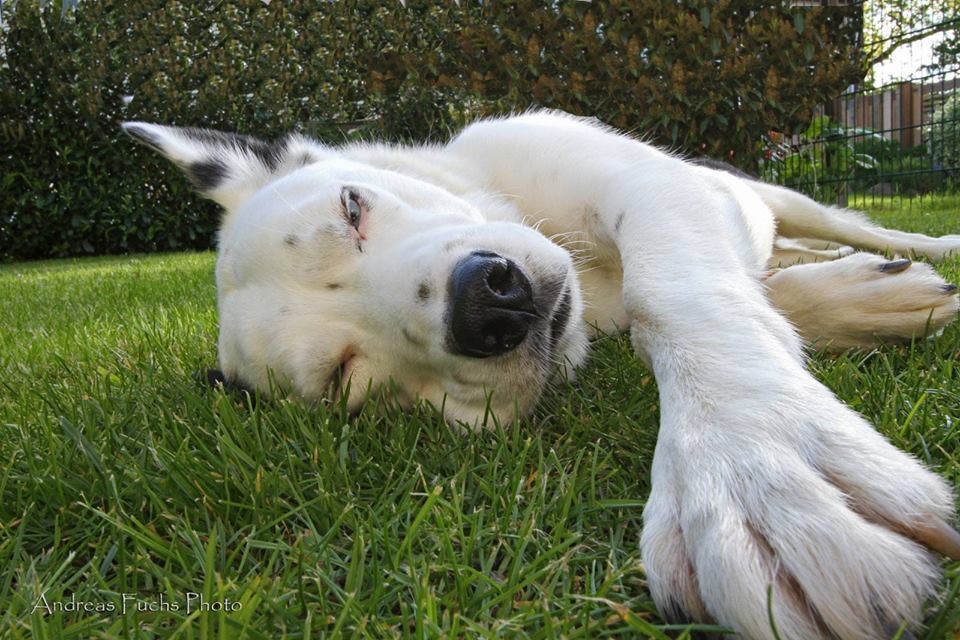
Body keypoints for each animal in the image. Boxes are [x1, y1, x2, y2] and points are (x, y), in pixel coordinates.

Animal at [125, 110, 960, 639]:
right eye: (345, 382)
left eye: (353, 206)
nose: (486, 302)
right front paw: (848, 303)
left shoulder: (650, 185)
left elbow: (673, 287)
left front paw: (749, 452)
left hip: (775, 192)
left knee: (849, 224)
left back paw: (913, 248)